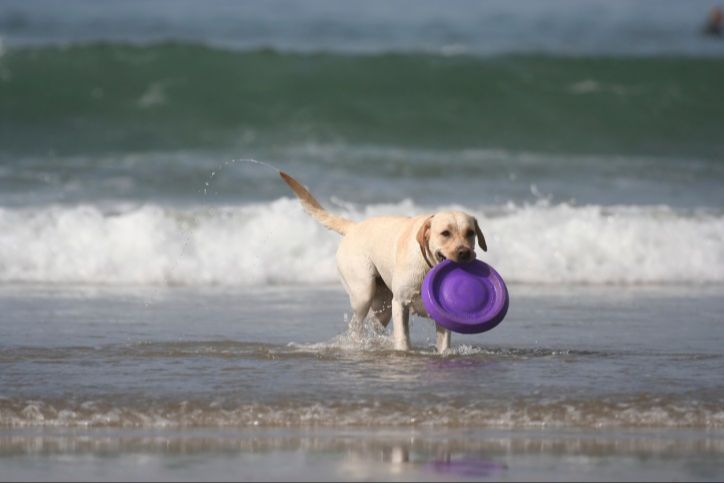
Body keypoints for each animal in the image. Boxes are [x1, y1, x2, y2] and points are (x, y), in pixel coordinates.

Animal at [278, 172, 486, 354]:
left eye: (470, 233)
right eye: (445, 233)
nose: (464, 253)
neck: (428, 266)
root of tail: (354, 226)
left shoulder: (442, 313)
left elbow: (443, 342)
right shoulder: (400, 303)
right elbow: (403, 339)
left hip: (382, 304)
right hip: (362, 291)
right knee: (356, 326)